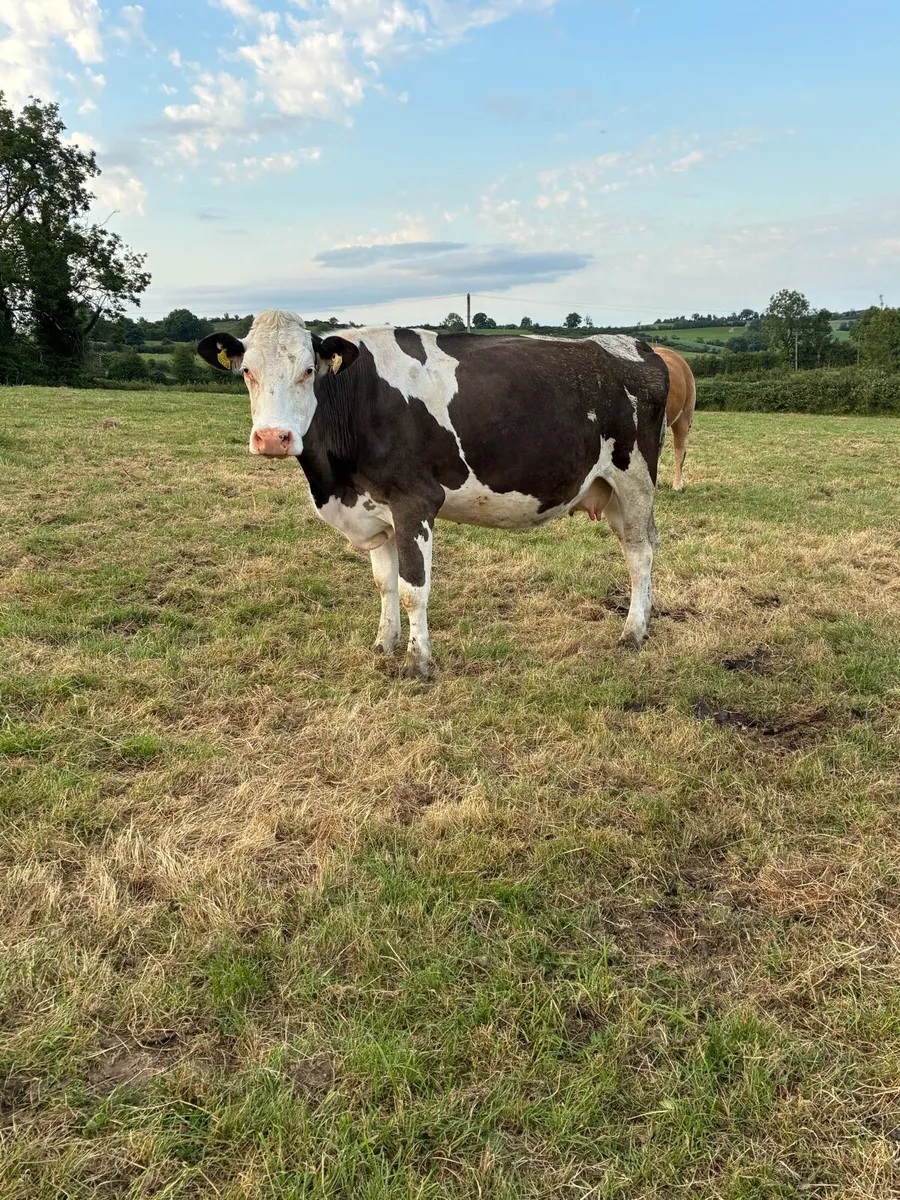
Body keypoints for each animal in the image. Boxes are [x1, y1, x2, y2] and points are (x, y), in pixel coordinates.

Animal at [198, 312, 670, 679]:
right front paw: (383, 644)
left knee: (640, 552)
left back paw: (633, 632)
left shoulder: (414, 501)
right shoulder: (376, 509)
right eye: (247, 372)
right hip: (608, 489)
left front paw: (418, 662)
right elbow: (385, 583)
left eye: (308, 370)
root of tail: (630, 343)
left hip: (635, 479)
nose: (272, 438)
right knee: (639, 544)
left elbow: (413, 588)